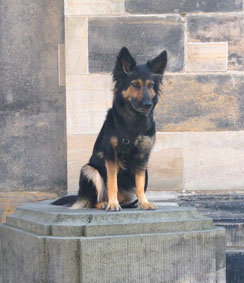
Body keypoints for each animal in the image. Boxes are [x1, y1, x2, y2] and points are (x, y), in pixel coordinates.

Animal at [53, 46, 168, 211]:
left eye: (150, 85)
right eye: (135, 84)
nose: (148, 104)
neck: (133, 123)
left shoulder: (142, 158)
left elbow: (140, 184)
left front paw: (144, 202)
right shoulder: (111, 157)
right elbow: (112, 183)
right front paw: (113, 204)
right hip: (89, 170)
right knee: (93, 199)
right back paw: (104, 203)